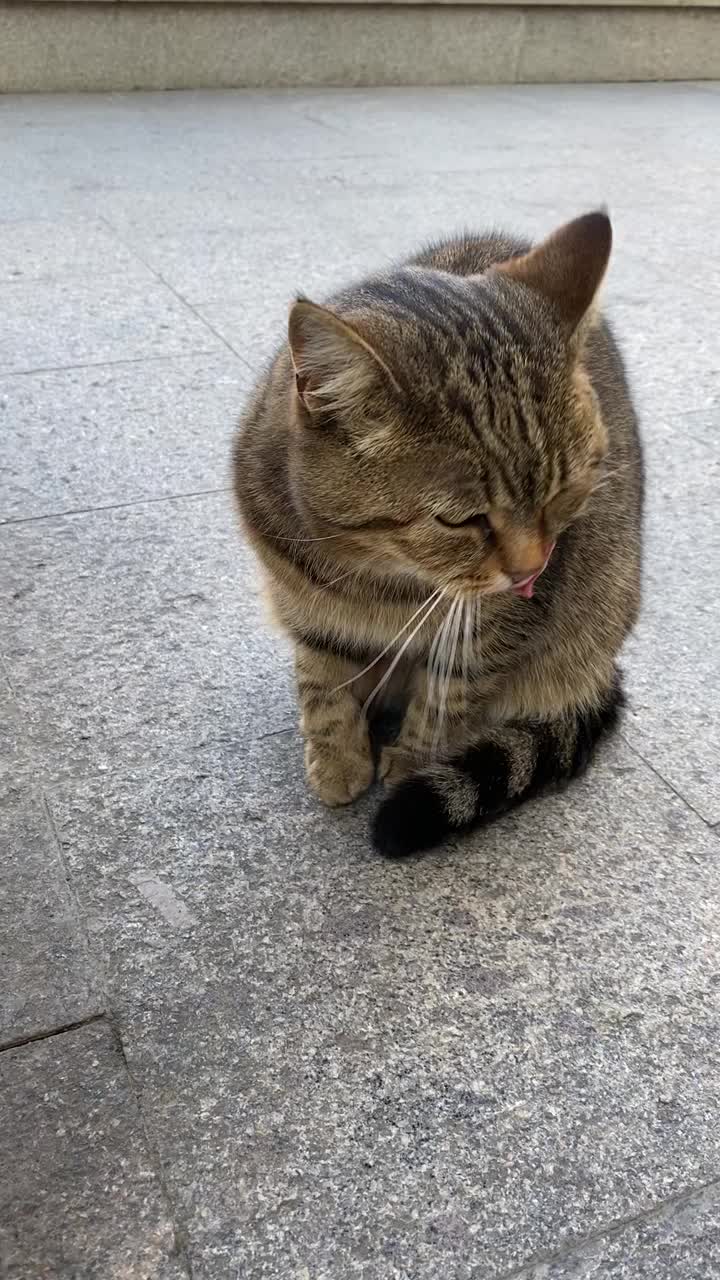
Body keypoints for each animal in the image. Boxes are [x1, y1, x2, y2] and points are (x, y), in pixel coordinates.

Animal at [233, 212, 640, 860]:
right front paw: (338, 757)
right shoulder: (302, 601)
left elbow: (448, 692)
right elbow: (322, 679)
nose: (530, 570)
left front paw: (411, 763)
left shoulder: (496, 625)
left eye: (564, 493)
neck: (376, 574)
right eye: (460, 520)